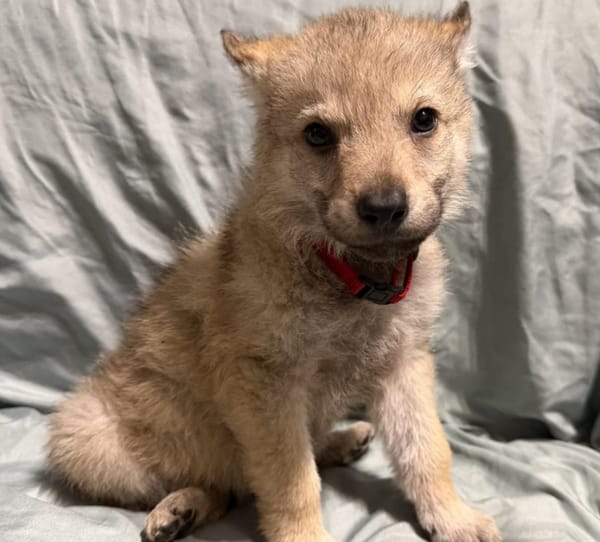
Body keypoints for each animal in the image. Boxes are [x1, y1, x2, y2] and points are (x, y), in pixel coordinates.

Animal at [47, 3, 502, 541]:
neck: (347, 276)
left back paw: (340, 442)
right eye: (318, 134)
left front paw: (452, 517)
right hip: (84, 435)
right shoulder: (266, 385)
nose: (384, 207)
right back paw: (179, 508)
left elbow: (427, 450)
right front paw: (305, 535)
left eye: (424, 119)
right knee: (221, 485)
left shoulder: (403, 366)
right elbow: (292, 479)